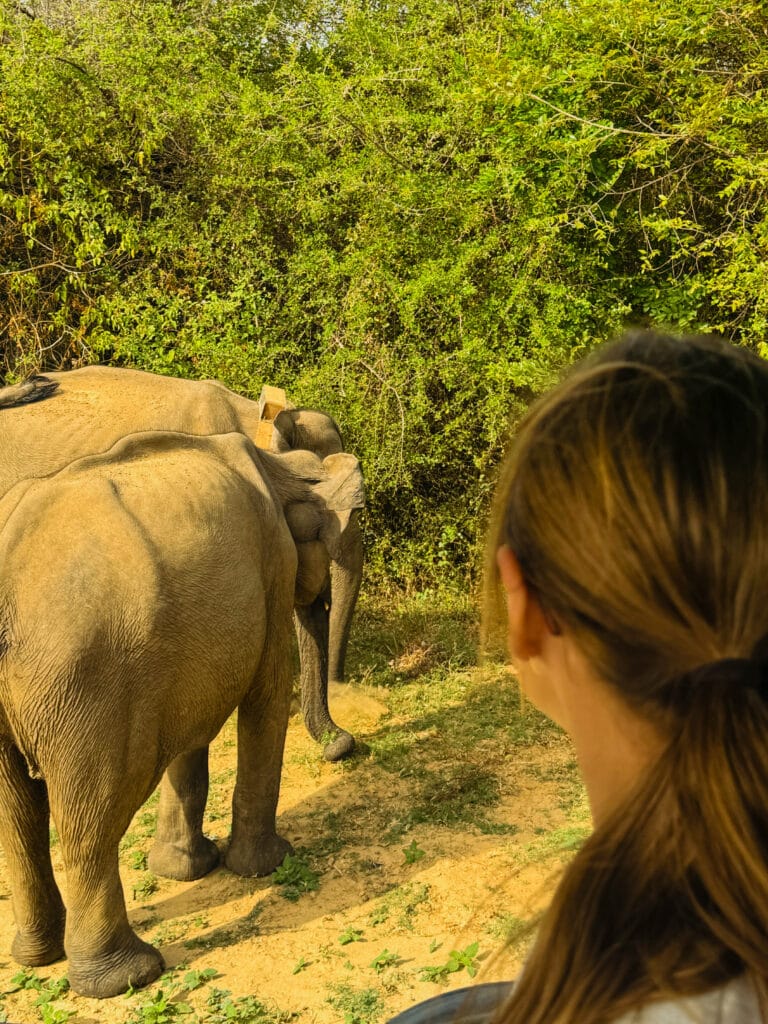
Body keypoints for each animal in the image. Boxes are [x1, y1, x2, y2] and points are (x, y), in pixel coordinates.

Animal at [0, 424, 364, 998]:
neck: (280, 463)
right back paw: (128, 975)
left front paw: (185, 870)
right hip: (85, 686)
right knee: (92, 814)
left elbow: (192, 729)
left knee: (17, 813)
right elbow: (264, 696)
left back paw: (37, 957)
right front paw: (266, 865)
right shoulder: (271, 569)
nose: (344, 745)